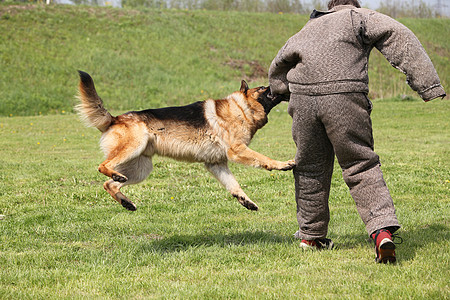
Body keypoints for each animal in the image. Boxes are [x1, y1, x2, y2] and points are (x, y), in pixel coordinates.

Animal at [76, 70, 296, 211]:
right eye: (263, 88)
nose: (284, 83)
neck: (241, 109)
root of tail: (114, 119)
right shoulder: (237, 151)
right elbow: (264, 159)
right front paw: (283, 164)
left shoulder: (217, 164)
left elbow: (234, 186)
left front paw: (246, 201)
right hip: (133, 148)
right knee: (102, 166)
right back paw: (115, 177)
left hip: (141, 168)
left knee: (109, 185)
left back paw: (126, 202)